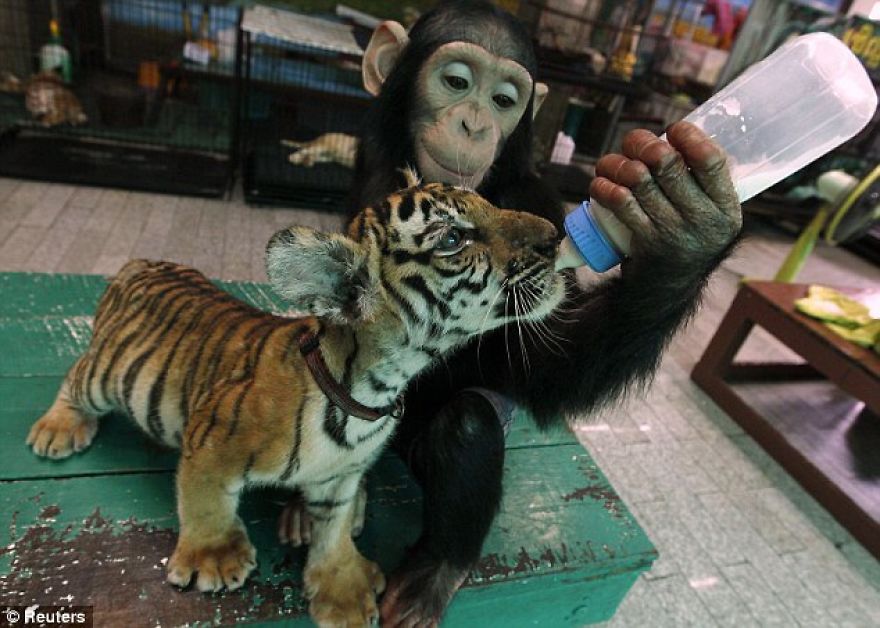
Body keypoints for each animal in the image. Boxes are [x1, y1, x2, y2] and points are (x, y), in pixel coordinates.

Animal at [25, 175, 565, 627]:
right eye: (453, 239)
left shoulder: (341, 476)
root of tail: (143, 262)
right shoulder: (211, 437)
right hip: (107, 373)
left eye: (488, 202)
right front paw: (214, 558)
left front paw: (344, 591)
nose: (556, 235)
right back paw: (56, 431)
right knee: (75, 379)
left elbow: (335, 529)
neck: (378, 387)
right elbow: (206, 498)